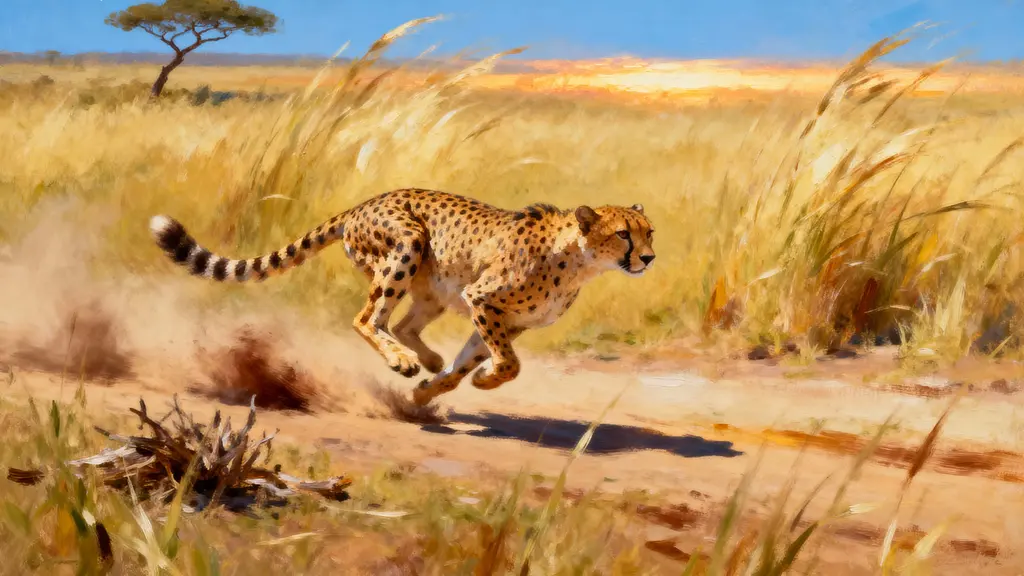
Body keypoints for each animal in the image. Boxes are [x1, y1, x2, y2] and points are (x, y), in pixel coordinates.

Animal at [149, 188, 655, 406]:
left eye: (649, 232)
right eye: (623, 234)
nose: (648, 258)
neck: (578, 258)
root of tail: (366, 201)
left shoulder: (503, 320)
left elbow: (472, 362)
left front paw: (437, 388)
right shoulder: (483, 299)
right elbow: (510, 364)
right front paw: (480, 380)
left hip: (432, 289)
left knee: (405, 323)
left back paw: (425, 361)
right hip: (407, 244)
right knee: (367, 318)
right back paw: (402, 360)